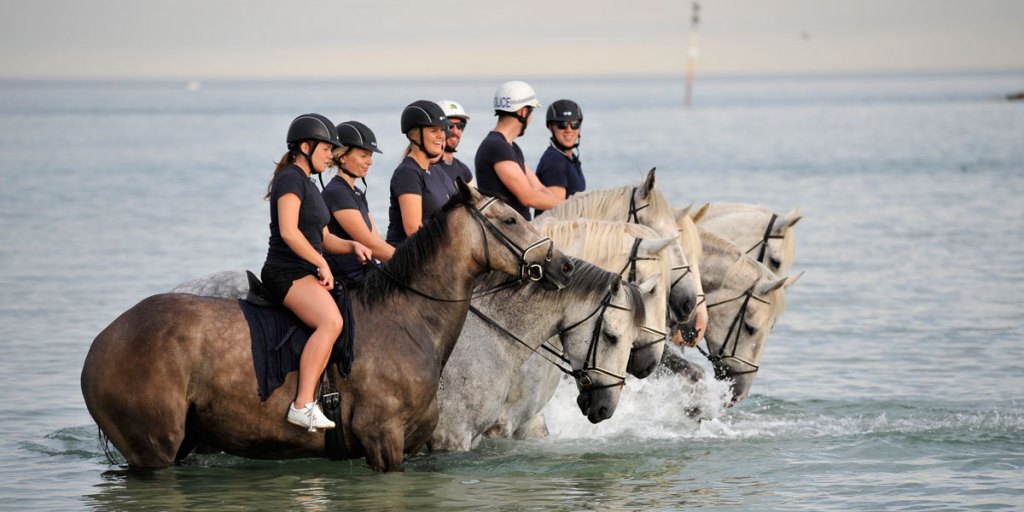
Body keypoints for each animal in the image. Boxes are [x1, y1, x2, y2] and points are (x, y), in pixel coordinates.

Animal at [81, 182, 574, 472]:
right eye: (510, 218)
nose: (563, 266)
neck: (408, 318)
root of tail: (103, 341)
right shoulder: (384, 442)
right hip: (153, 451)